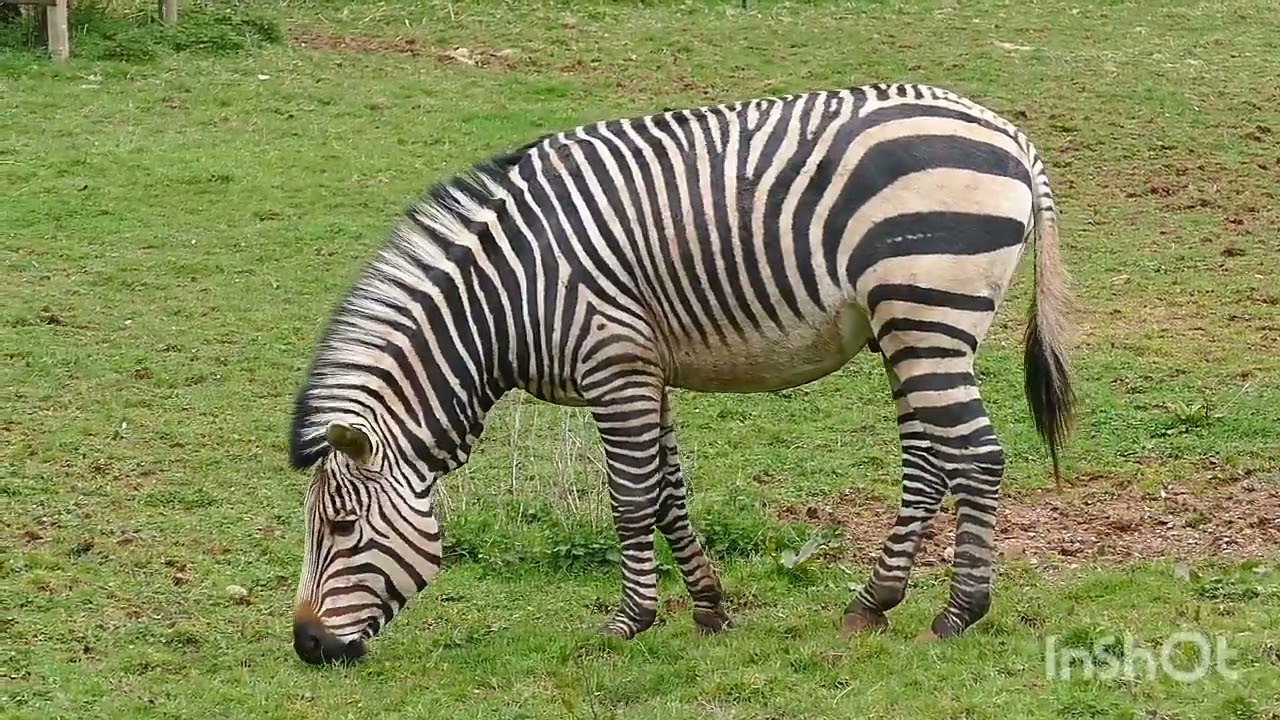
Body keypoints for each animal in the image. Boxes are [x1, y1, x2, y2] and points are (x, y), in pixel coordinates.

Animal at [287, 82, 1075, 665]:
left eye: (343, 527)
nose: (307, 646)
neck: (505, 294)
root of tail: (1012, 137)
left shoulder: (615, 366)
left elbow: (632, 500)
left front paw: (629, 622)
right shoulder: (645, 369)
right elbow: (669, 494)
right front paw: (708, 608)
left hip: (926, 311)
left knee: (979, 457)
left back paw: (957, 614)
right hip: (912, 328)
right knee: (930, 462)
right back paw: (872, 603)